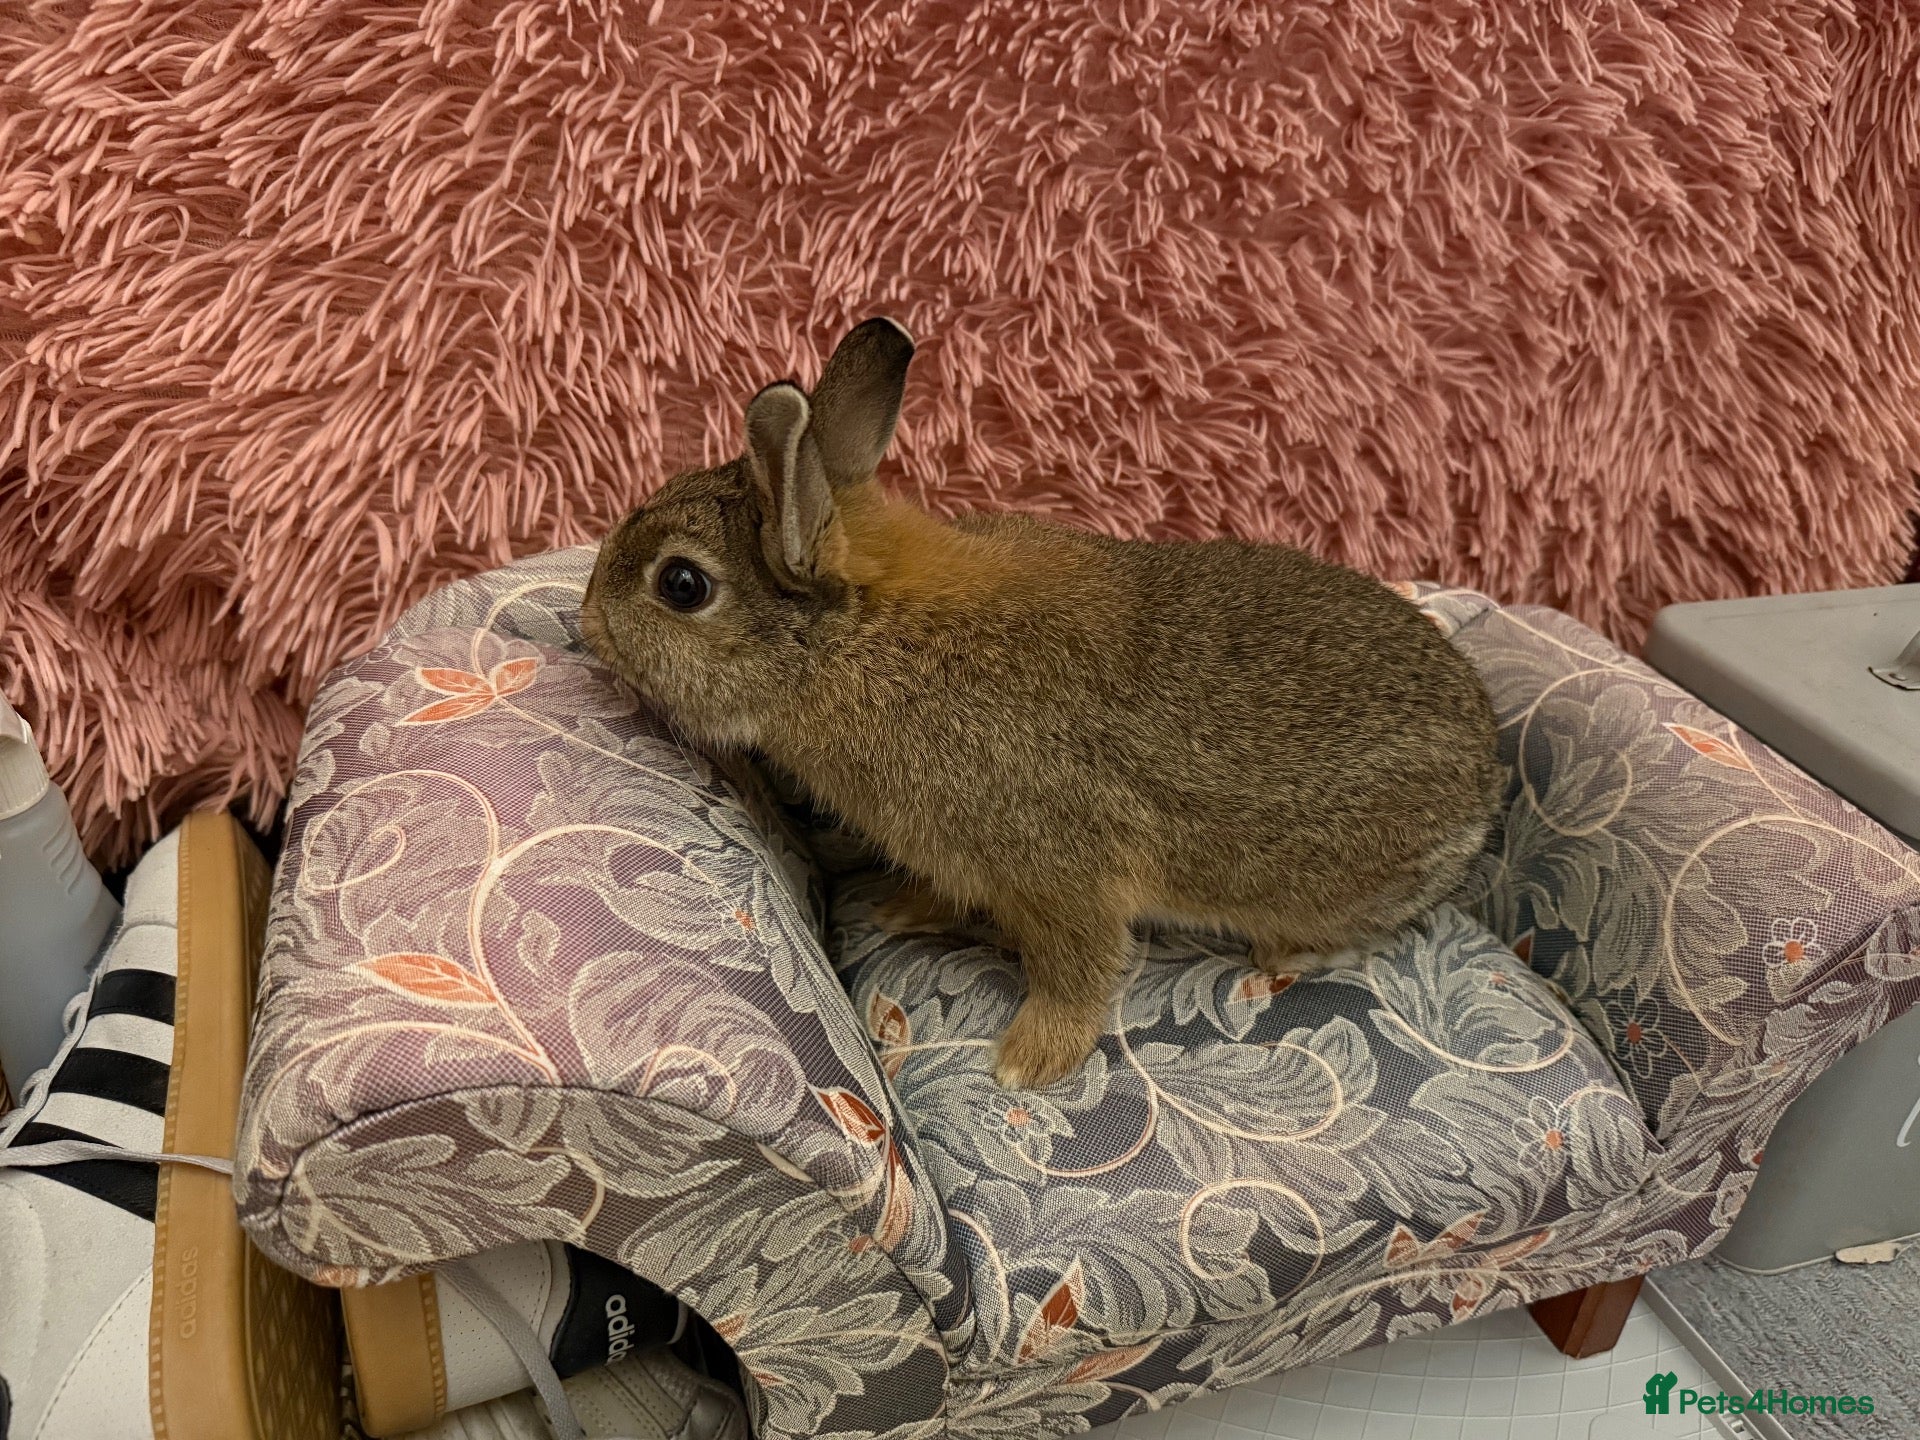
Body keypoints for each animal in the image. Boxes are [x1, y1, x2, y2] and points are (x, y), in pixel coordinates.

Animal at [581, 317, 1502, 1091]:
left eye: (682, 584)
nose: (586, 618)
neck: (862, 640)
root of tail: (1485, 792)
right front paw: (899, 908)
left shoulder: (1062, 872)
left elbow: (1077, 970)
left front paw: (1028, 1063)